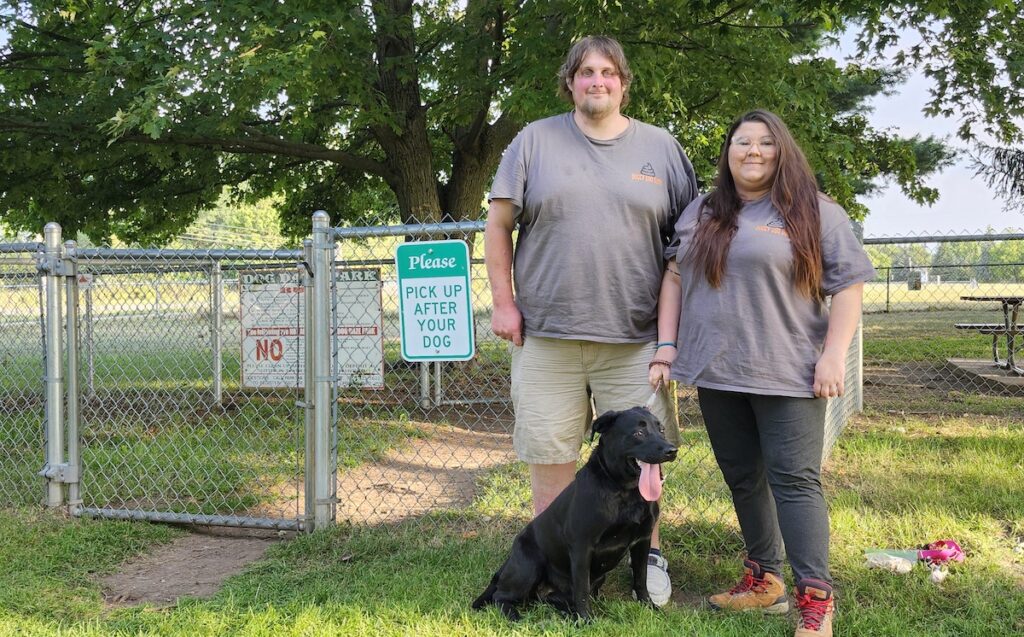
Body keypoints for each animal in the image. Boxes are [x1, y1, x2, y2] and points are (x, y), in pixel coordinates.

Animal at [471, 409, 679, 622]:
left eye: (661, 430)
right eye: (638, 433)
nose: (672, 450)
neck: (625, 492)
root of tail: (506, 564)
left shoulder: (642, 540)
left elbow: (641, 578)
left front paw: (649, 607)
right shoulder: (581, 547)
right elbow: (582, 589)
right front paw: (586, 621)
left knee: (550, 599)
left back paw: (565, 613)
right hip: (529, 565)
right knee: (501, 596)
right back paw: (515, 616)